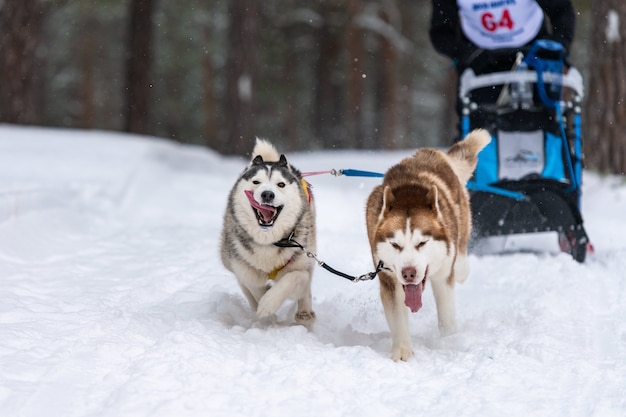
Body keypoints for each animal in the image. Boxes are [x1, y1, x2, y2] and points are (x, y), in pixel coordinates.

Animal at [221, 138, 316, 324]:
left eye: (281, 184)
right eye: (256, 182)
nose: (267, 194)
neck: (268, 241)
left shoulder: (303, 265)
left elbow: (293, 278)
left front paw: (269, 303)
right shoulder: (244, 268)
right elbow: (254, 287)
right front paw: (263, 306)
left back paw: (304, 312)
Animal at [364, 130, 490, 360]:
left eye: (422, 242)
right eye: (395, 245)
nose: (409, 273)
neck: (408, 194)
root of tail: (433, 153)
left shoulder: (443, 277)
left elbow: (447, 319)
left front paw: (449, 342)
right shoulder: (388, 278)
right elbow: (398, 318)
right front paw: (402, 351)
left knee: (461, 260)